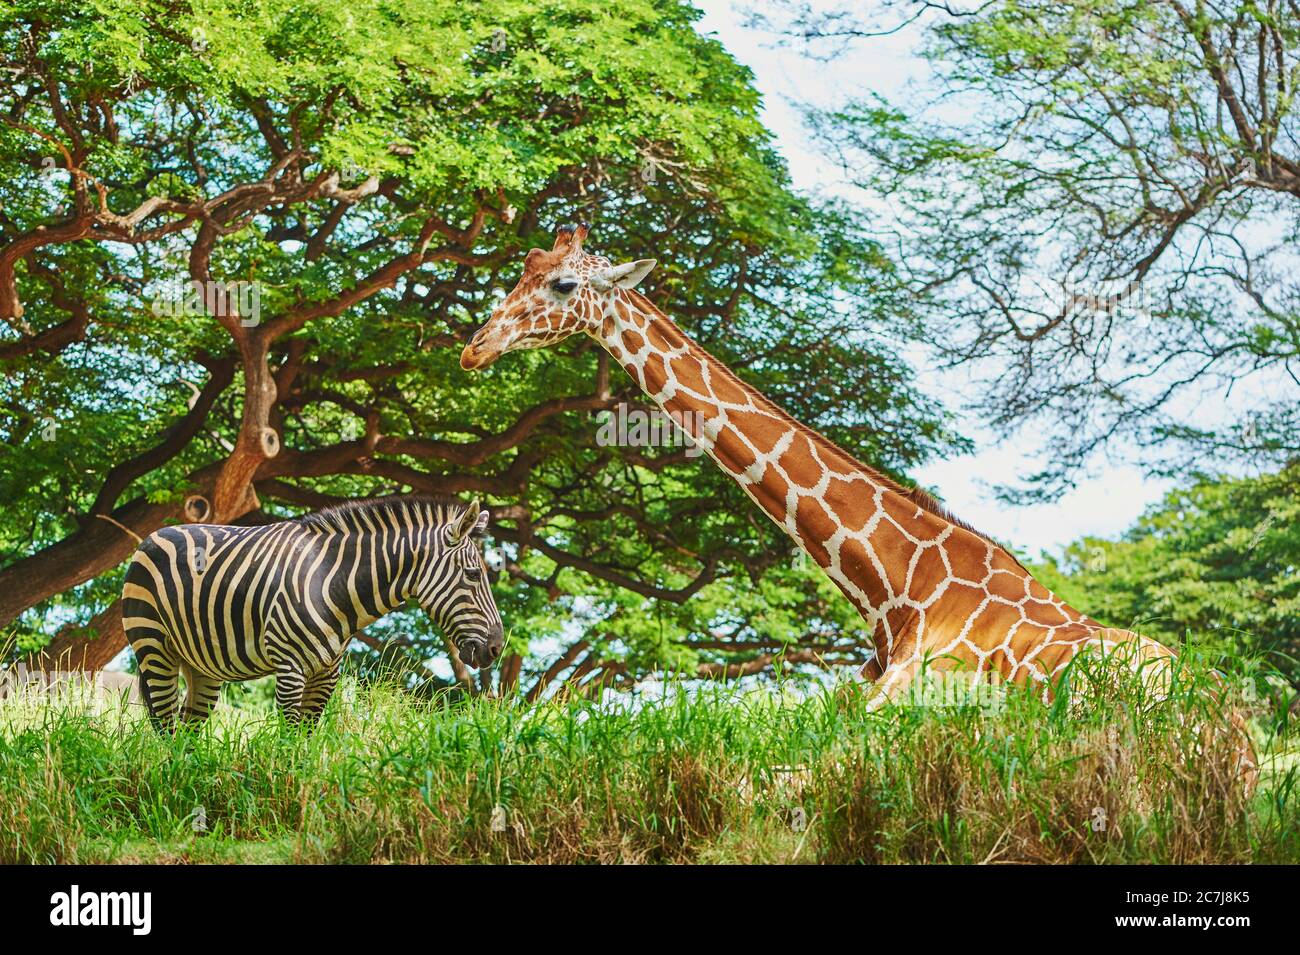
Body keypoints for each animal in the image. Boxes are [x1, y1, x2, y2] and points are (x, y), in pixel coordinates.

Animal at [459, 225, 1236, 728]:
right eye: (522, 268)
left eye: (563, 283)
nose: (476, 347)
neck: (894, 593)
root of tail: (1237, 730)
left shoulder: (899, 715)